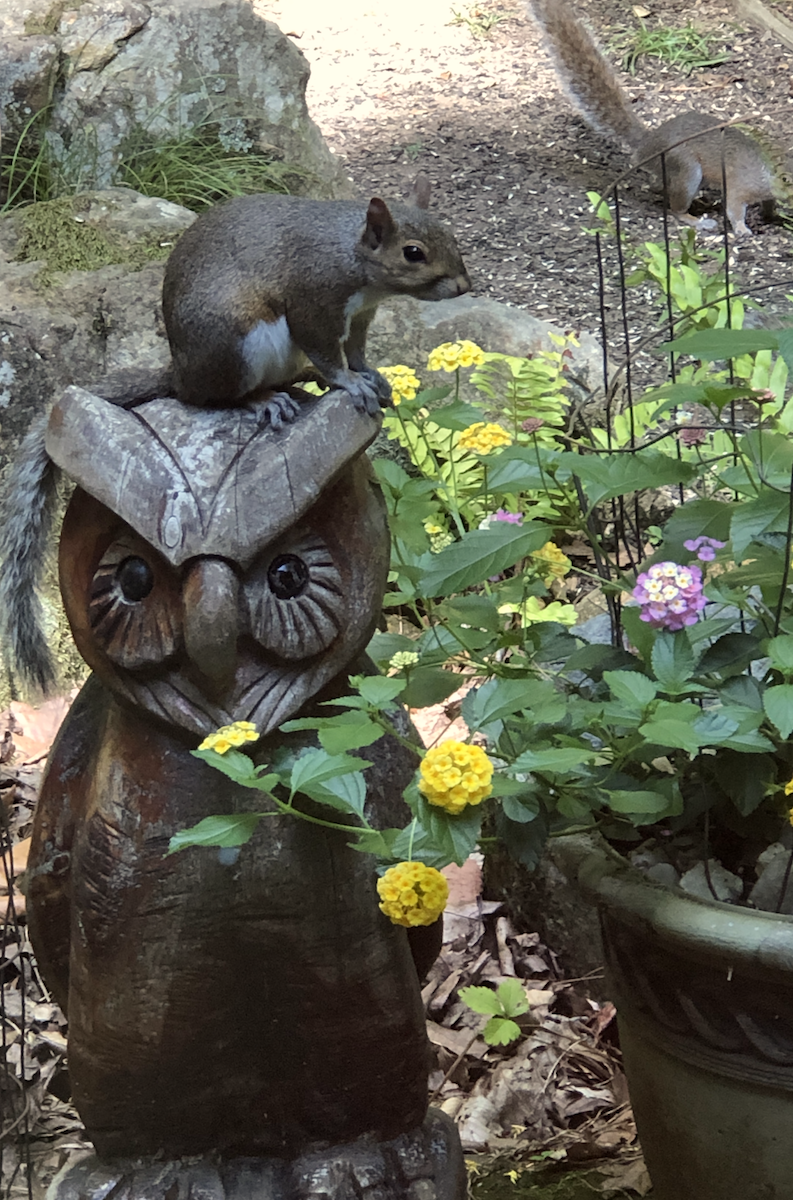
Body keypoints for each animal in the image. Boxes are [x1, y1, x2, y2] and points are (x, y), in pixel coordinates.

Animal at [0, 177, 470, 693]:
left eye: (449, 233)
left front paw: (372, 377)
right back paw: (262, 401)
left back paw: (296, 383)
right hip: (239, 342)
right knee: (217, 399)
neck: (353, 257)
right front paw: (348, 383)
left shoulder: (361, 316)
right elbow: (330, 353)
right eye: (413, 253)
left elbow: (358, 351)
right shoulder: (315, 301)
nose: (464, 286)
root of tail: (182, 374)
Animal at [527, 0, 776, 237]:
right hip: (685, 168)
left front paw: (770, 216)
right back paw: (696, 220)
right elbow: (734, 206)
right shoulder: (743, 183)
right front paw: (742, 229)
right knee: (675, 207)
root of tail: (648, 143)